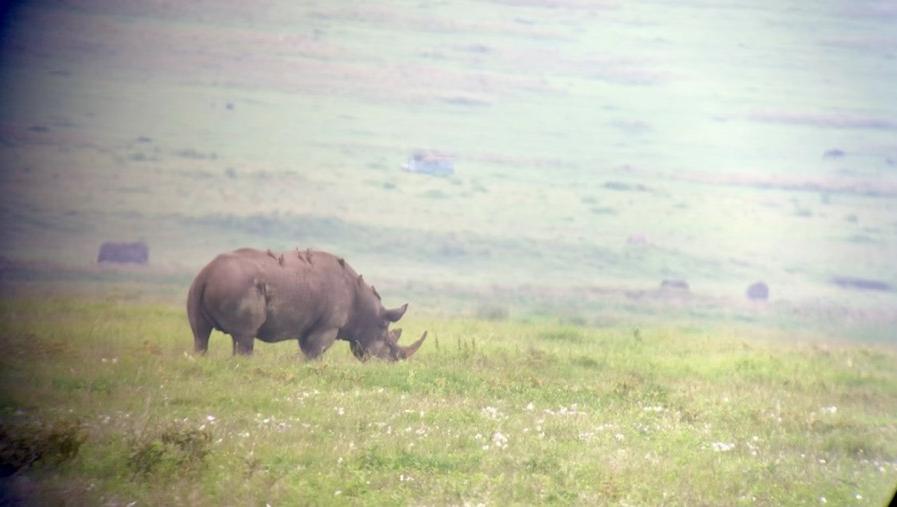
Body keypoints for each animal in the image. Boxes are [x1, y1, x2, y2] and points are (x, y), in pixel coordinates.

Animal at [187, 248, 426, 361]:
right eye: (388, 344)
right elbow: (315, 354)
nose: (391, 364)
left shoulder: (310, 327)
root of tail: (207, 273)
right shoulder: (327, 327)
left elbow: (307, 351)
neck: (366, 313)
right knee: (245, 335)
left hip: (198, 286)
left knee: (200, 335)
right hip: (239, 285)